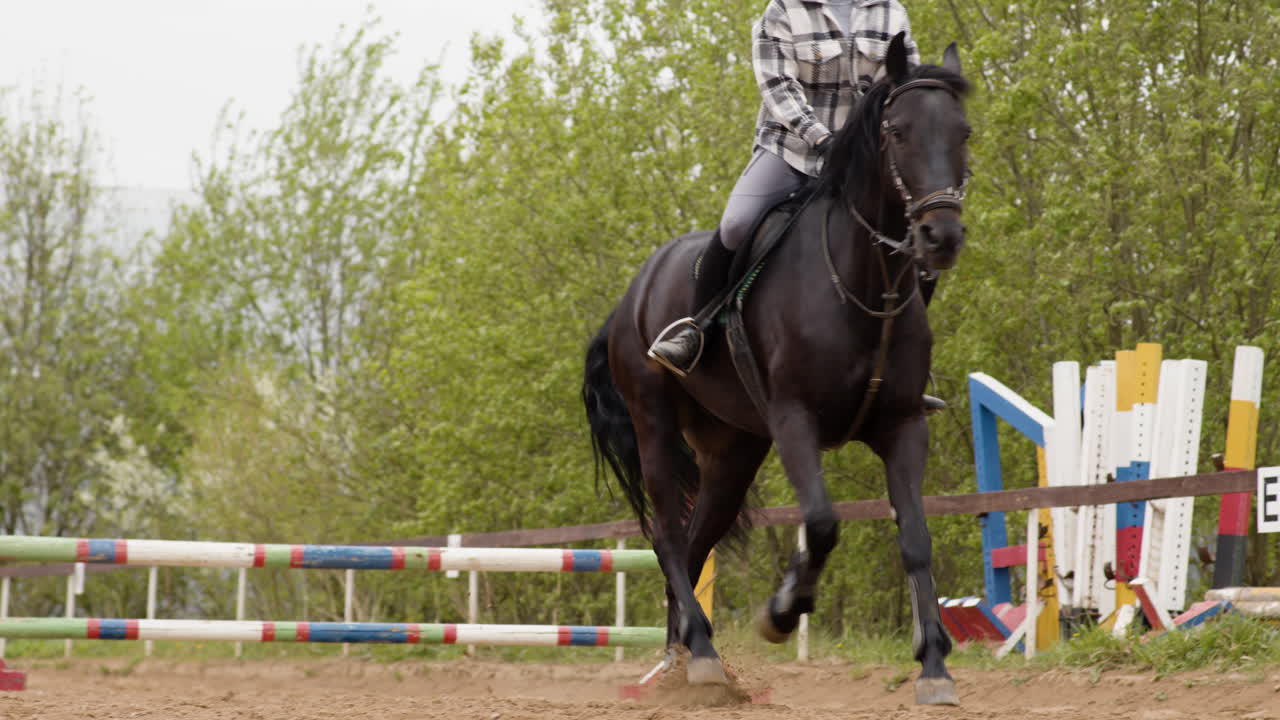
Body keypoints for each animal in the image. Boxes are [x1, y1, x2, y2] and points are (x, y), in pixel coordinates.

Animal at [582, 34, 971, 706]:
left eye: (963, 132)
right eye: (897, 131)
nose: (939, 235)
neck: (860, 283)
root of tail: (632, 294)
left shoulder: (903, 426)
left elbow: (916, 540)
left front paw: (934, 668)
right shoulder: (795, 421)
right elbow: (821, 523)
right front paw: (782, 612)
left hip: (733, 450)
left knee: (695, 538)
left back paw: (684, 658)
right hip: (655, 425)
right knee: (667, 536)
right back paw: (702, 656)